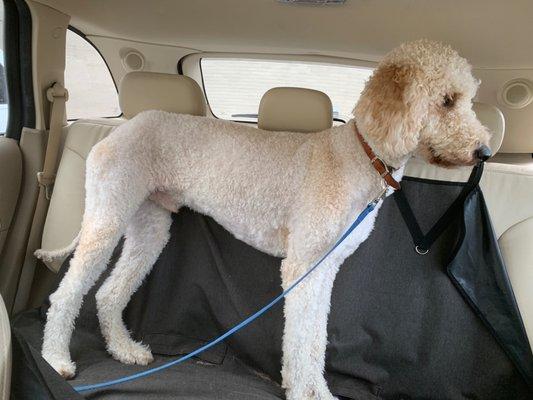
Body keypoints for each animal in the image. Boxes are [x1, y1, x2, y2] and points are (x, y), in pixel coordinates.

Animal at [35, 39, 488, 398]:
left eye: (467, 100)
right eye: (447, 100)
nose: (484, 151)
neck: (360, 156)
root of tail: (123, 127)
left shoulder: (322, 270)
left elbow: (313, 338)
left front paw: (312, 389)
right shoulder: (302, 265)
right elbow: (303, 339)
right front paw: (306, 394)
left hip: (150, 227)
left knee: (109, 294)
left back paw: (125, 350)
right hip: (107, 218)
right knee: (66, 294)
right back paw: (55, 359)